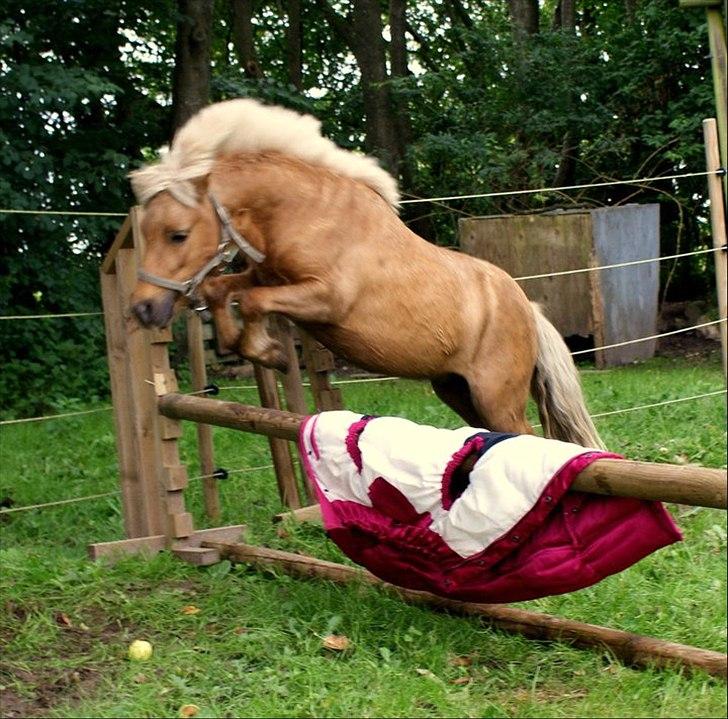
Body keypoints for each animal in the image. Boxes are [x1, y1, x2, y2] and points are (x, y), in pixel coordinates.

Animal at [128, 98, 604, 449]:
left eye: (177, 234)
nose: (143, 310)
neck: (303, 214)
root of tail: (528, 308)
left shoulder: (324, 299)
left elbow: (250, 300)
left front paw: (270, 353)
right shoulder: (269, 277)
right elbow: (222, 288)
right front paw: (242, 345)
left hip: (495, 395)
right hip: (456, 389)